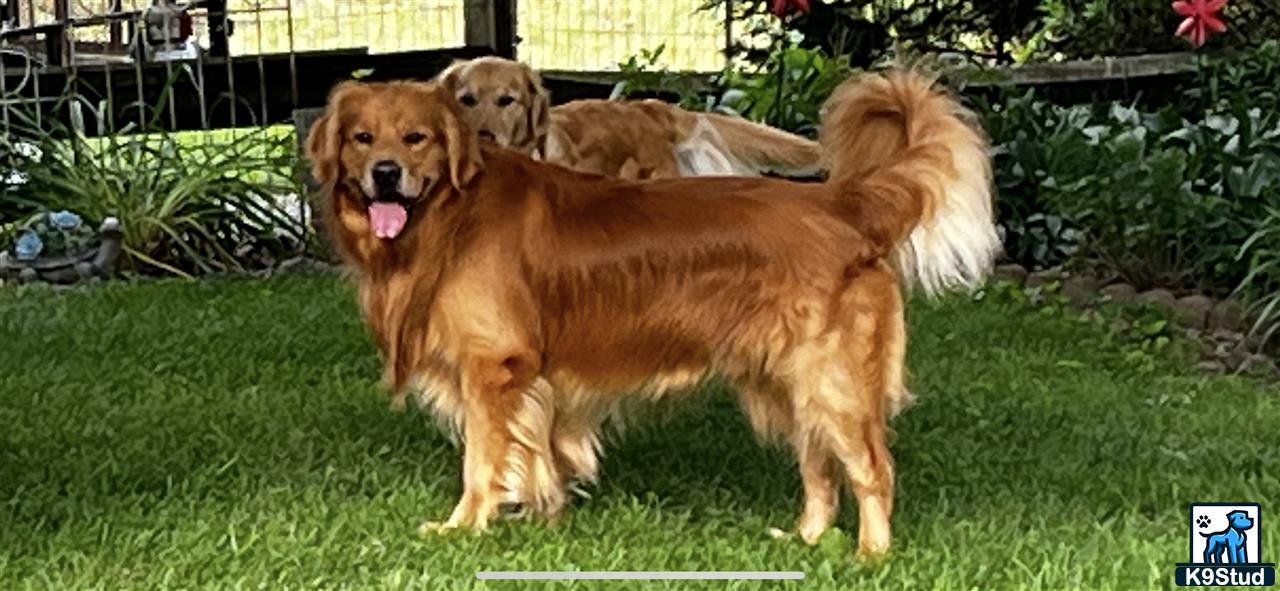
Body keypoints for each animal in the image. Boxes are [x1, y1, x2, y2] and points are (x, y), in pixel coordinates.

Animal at [307, 70, 998, 557]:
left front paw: (465, 526)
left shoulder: (495, 368)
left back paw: (869, 556)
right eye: (362, 138)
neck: (450, 211)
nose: (385, 174)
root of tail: (842, 203)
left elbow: (482, 460)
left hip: (833, 379)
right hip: (786, 380)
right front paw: (541, 520)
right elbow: (534, 455)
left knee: (873, 468)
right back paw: (806, 540)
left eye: (416, 138)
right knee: (819, 467)